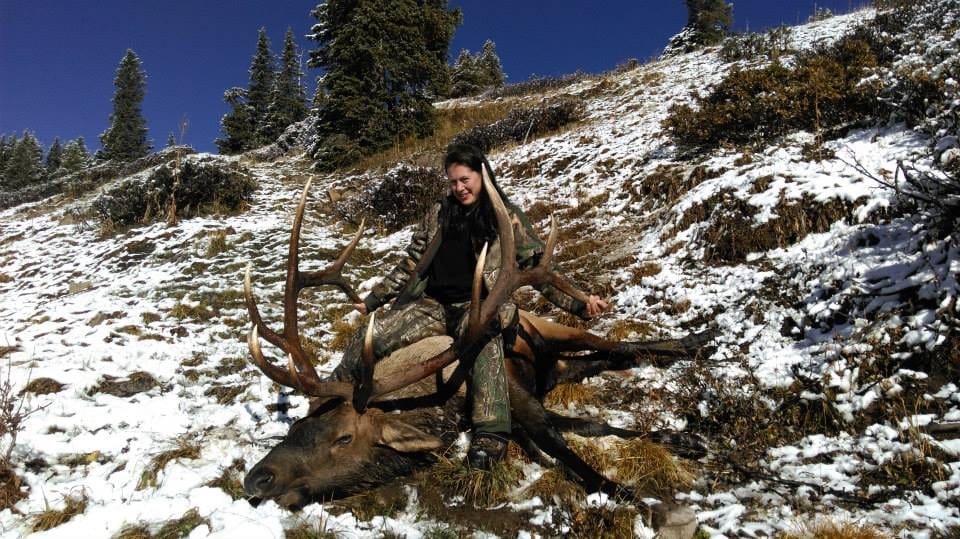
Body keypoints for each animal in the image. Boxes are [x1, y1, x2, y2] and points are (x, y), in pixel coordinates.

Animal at [241, 173, 712, 537]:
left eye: (343, 438)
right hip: (557, 364)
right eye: (299, 424)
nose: (256, 478)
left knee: (614, 344)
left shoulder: (515, 400)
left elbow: (569, 448)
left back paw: (695, 337)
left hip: (555, 328)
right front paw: (679, 441)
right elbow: (589, 427)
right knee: (595, 361)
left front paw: (654, 506)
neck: (444, 402)